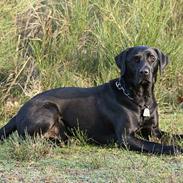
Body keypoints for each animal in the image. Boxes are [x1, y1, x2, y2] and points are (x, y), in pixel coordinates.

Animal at [0, 45, 183, 154]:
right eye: (135, 59)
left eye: (152, 59)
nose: (145, 72)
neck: (140, 99)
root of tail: (18, 112)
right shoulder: (126, 138)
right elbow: (155, 145)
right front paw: (175, 149)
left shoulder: (154, 131)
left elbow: (173, 135)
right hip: (49, 110)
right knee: (29, 140)